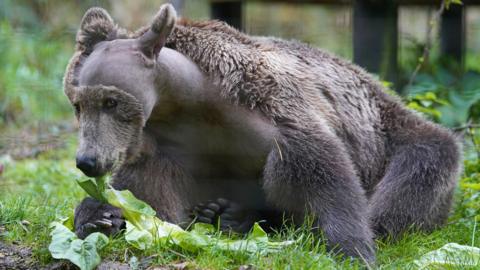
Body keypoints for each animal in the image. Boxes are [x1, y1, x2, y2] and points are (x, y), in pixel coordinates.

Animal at [64, 3, 462, 262]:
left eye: (111, 101)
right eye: (77, 104)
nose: (88, 161)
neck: (190, 101)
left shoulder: (278, 115)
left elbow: (324, 180)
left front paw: (351, 248)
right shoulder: (165, 149)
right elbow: (147, 195)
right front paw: (102, 216)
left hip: (393, 135)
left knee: (417, 173)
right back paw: (222, 214)